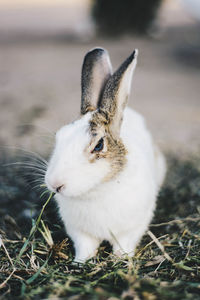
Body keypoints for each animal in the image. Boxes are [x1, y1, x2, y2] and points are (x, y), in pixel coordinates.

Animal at [44, 47, 166, 262]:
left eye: (99, 145)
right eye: (59, 136)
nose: (55, 184)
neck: (98, 190)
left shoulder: (132, 227)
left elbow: (123, 244)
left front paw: (120, 259)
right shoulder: (79, 231)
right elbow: (85, 246)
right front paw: (80, 262)